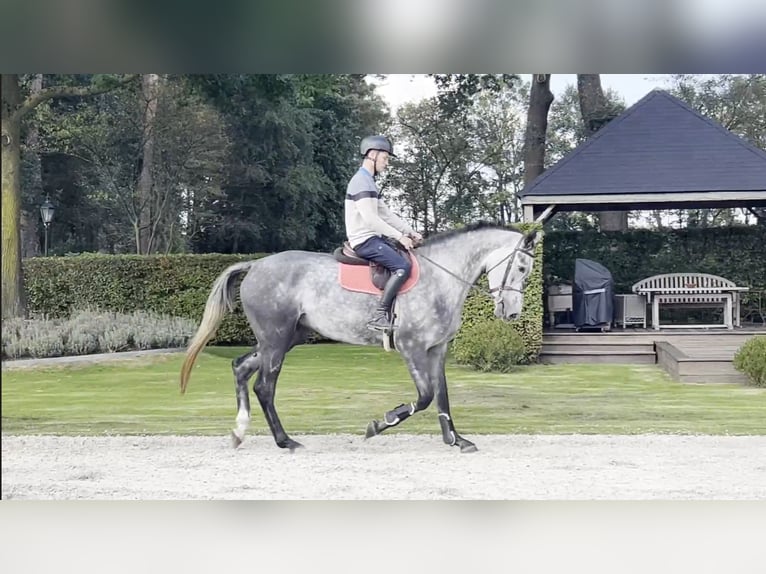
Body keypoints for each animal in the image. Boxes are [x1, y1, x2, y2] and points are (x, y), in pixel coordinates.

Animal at [182, 224, 540, 454]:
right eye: (522, 268)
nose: (511, 313)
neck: (441, 278)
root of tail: (256, 264)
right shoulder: (411, 348)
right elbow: (424, 397)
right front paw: (381, 423)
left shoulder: (437, 349)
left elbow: (442, 396)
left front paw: (455, 439)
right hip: (276, 340)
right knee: (264, 387)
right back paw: (285, 441)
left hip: (285, 338)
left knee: (241, 368)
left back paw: (239, 432)